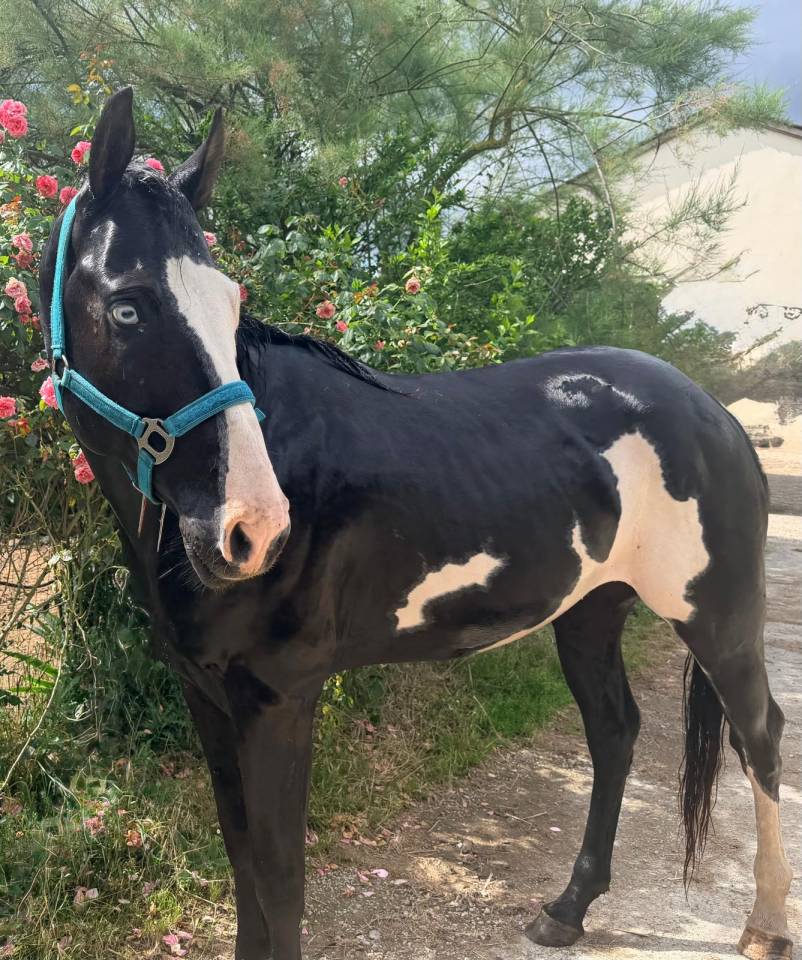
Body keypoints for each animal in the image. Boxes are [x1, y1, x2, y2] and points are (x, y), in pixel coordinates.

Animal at [38, 88, 793, 960]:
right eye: (126, 305)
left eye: (230, 306)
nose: (254, 529)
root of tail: (713, 412)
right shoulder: (209, 698)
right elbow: (244, 869)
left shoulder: (279, 697)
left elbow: (279, 882)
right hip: (592, 610)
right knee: (615, 733)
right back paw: (567, 909)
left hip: (717, 616)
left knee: (759, 736)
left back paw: (766, 926)